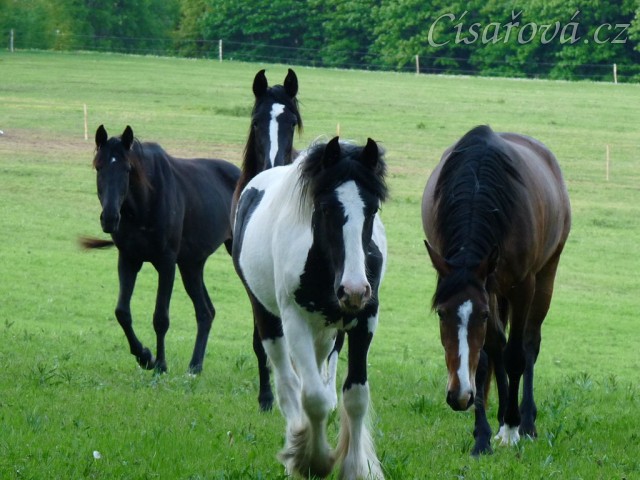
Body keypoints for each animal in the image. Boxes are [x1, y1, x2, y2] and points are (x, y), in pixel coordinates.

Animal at [81, 125, 240, 374]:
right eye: (99, 167)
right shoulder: (128, 259)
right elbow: (122, 312)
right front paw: (145, 356)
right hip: (191, 265)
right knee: (206, 312)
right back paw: (194, 367)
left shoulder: (166, 263)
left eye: (127, 169)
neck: (143, 205)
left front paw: (161, 365)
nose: (109, 218)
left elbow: (160, 318)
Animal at [233, 137, 388, 479]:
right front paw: (312, 460)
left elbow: (355, 396)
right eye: (326, 207)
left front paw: (355, 467)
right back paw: (297, 439)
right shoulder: (295, 321)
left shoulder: (365, 320)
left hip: (325, 333)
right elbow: (313, 398)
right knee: (289, 385)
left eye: (372, 209)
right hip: (268, 318)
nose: (354, 290)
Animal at [421, 125, 571, 455]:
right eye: (441, 314)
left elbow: (516, 355)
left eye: (482, 315)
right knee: (497, 349)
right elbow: (487, 356)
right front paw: (482, 437)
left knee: (529, 344)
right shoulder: (483, 287)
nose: (459, 396)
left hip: (545, 275)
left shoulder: (522, 287)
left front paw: (513, 428)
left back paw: (525, 422)